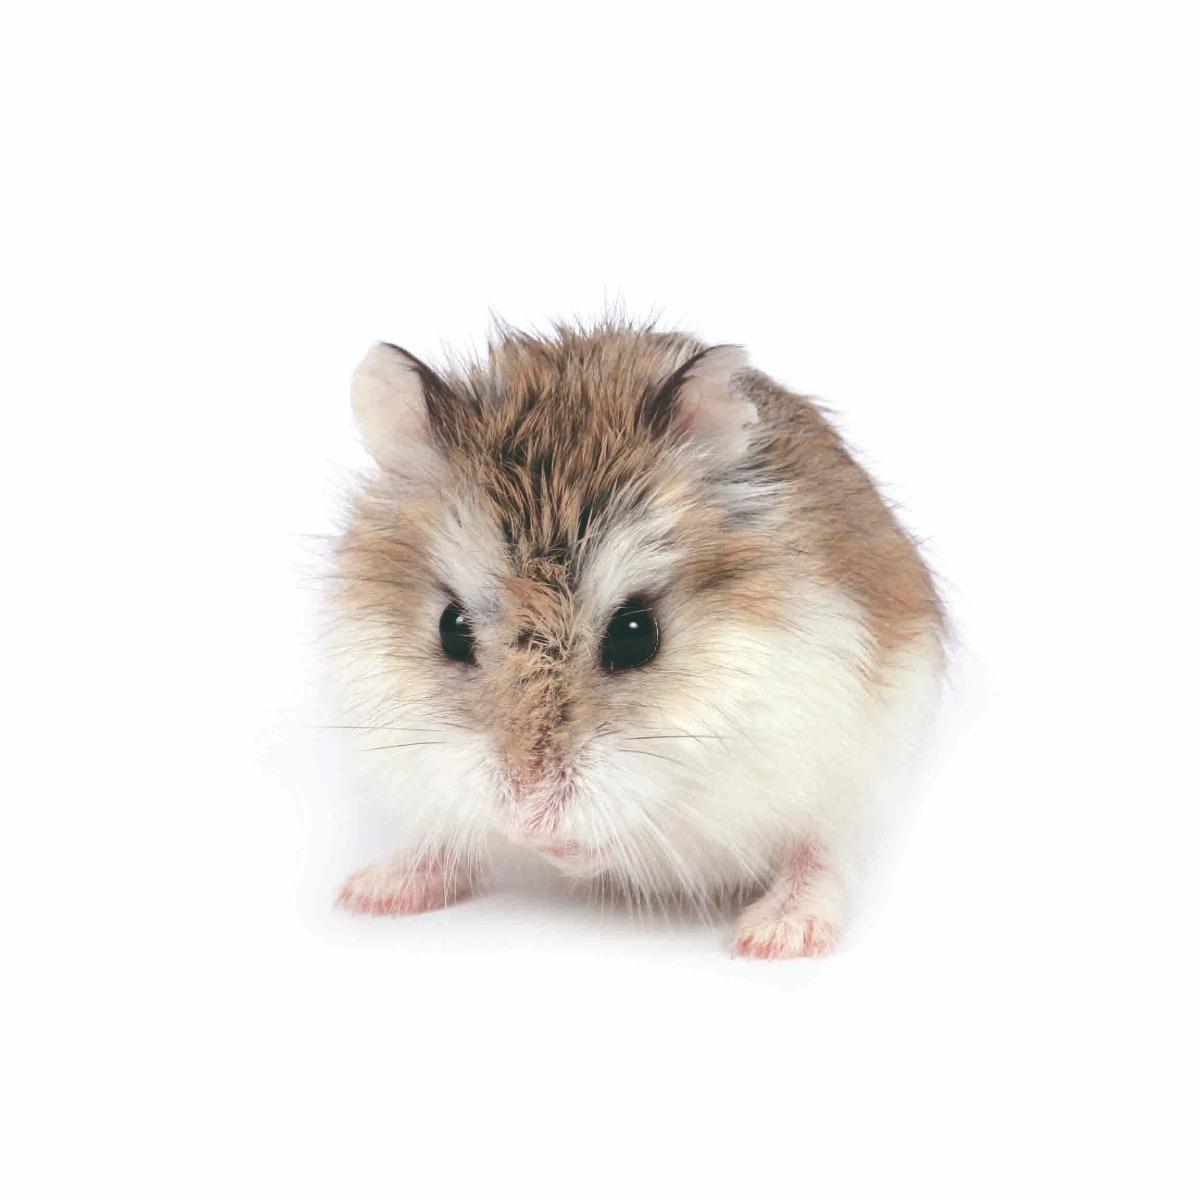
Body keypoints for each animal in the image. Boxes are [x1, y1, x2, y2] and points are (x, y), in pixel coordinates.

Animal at [325, 321, 944, 958]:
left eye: (635, 634)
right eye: (451, 627)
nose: (526, 817)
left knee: (821, 850)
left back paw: (779, 934)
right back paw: (372, 891)